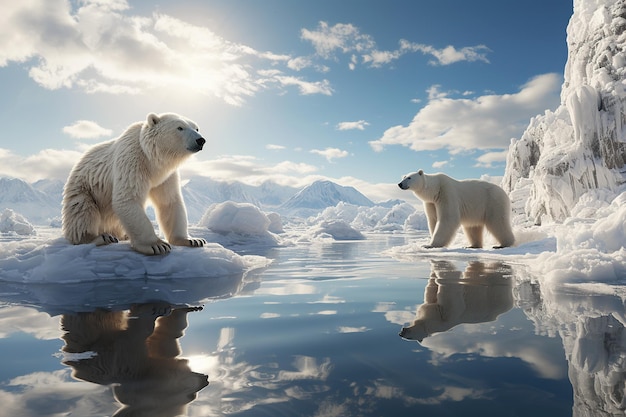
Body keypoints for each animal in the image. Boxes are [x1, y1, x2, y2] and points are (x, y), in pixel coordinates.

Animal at [62, 112, 207, 254]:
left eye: (196, 128)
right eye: (180, 127)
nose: (201, 140)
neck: (151, 159)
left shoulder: (166, 176)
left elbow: (170, 201)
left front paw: (193, 240)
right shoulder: (132, 160)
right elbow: (128, 198)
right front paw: (157, 245)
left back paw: (123, 235)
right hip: (84, 189)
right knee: (83, 212)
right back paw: (100, 237)